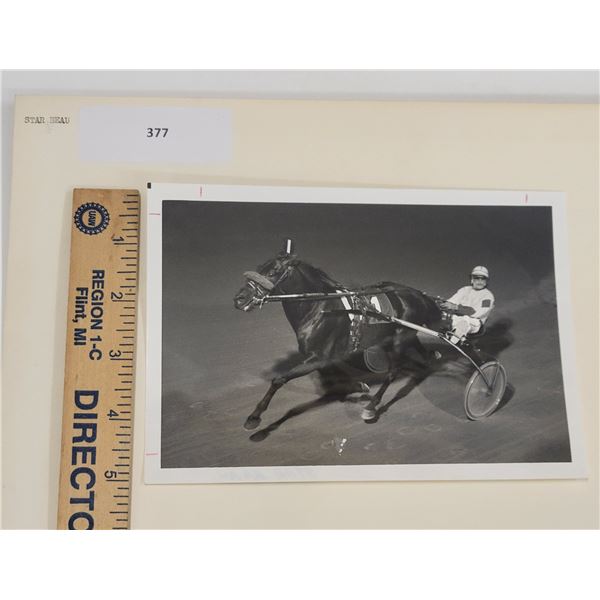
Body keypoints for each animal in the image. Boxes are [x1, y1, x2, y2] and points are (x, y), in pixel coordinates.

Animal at [233, 241, 443, 430]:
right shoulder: (326, 356)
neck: (318, 307)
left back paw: (371, 406)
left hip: (399, 338)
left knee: (393, 371)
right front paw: (359, 386)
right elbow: (337, 373)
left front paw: (254, 416)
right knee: (422, 353)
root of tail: (418, 294)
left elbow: (279, 379)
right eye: (259, 268)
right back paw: (429, 362)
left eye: (273, 271)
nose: (239, 299)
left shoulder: (317, 357)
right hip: (399, 336)